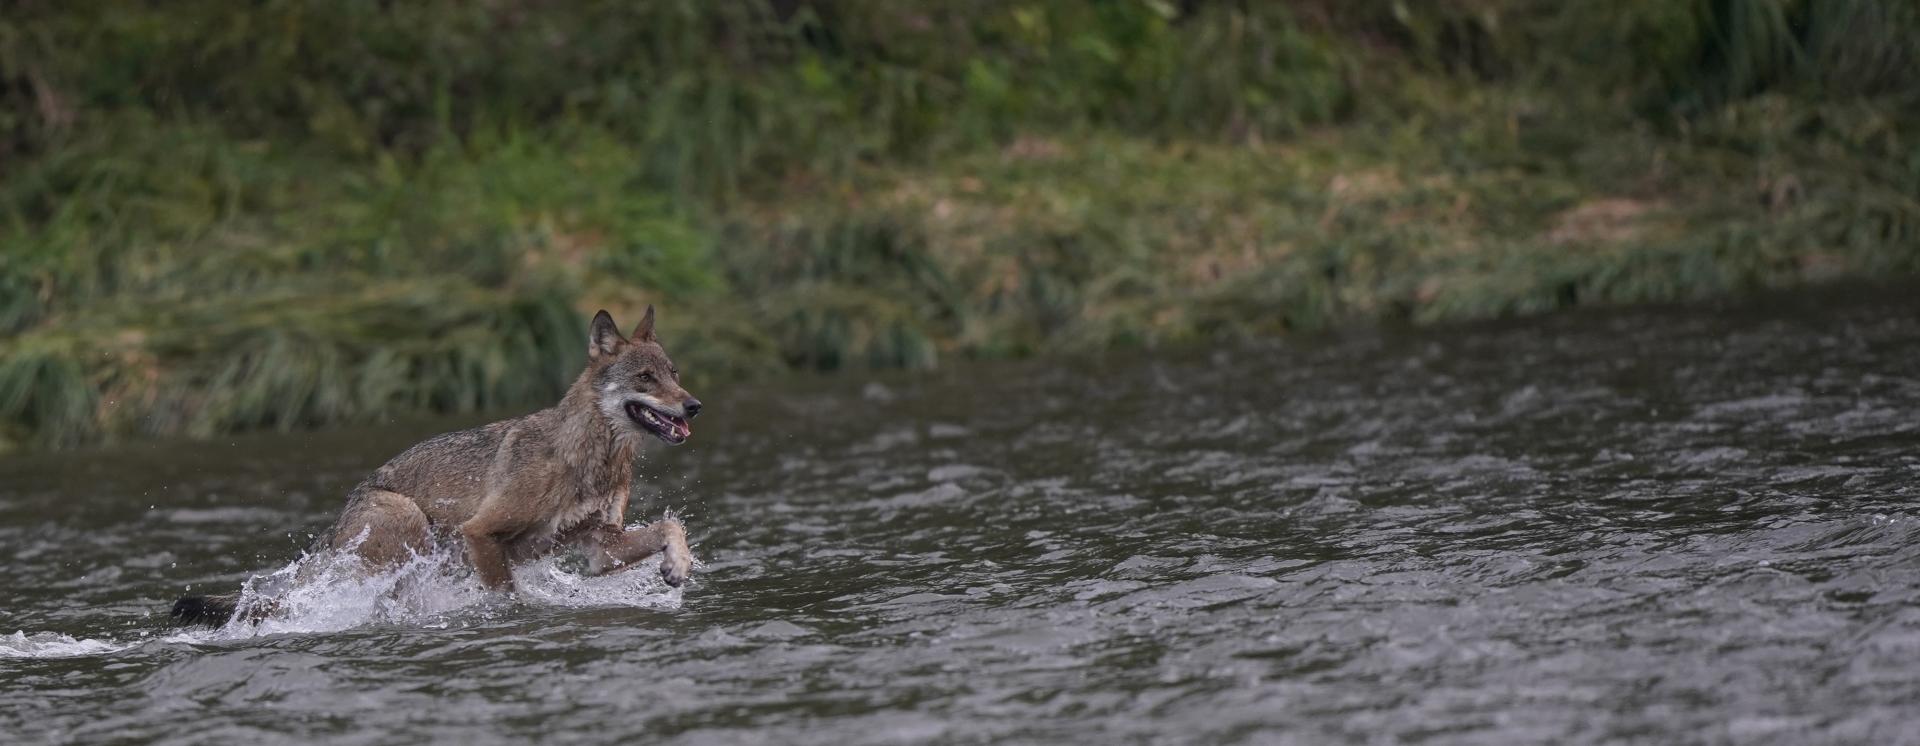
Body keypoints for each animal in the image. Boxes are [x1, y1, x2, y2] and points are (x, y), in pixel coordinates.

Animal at [174, 304, 706, 625]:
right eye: (645, 377)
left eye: (674, 373)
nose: (694, 405)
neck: (590, 457)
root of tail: (341, 515)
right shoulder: (481, 533)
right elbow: (506, 595)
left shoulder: (602, 549)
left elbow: (672, 525)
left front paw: (678, 566)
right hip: (412, 527)